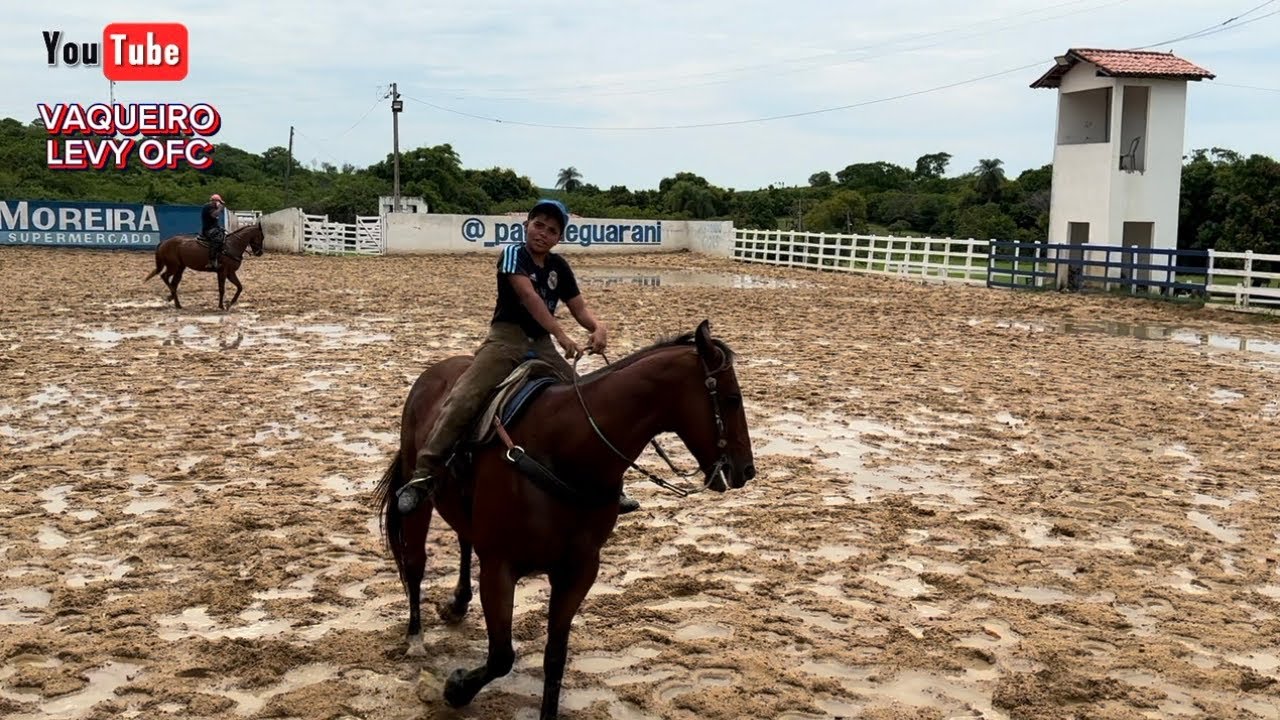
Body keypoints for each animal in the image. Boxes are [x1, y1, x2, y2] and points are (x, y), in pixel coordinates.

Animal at [372, 319, 756, 720]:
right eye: (732, 399)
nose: (747, 469)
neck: (565, 450)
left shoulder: (578, 570)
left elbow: (555, 658)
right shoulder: (500, 567)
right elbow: (501, 656)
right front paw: (456, 688)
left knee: (464, 541)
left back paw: (457, 605)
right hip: (418, 497)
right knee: (415, 563)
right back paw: (415, 638)